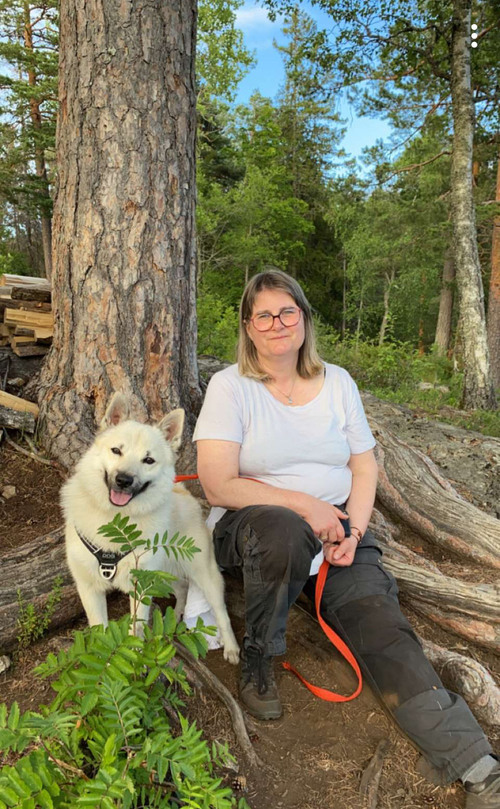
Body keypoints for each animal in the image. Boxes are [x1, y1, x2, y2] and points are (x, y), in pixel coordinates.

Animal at [60, 392, 240, 664]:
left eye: (148, 460)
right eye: (116, 450)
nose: (124, 480)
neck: (117, 521)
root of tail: (181, 490)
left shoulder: (140, 587)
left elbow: (136, 627)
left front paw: (131, 657)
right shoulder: (89, 588)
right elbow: (99, 629)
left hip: (204, 574)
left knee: (221, 612)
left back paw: (231, 647)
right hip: (164, 570)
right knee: (182, 587)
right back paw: (177, 614)